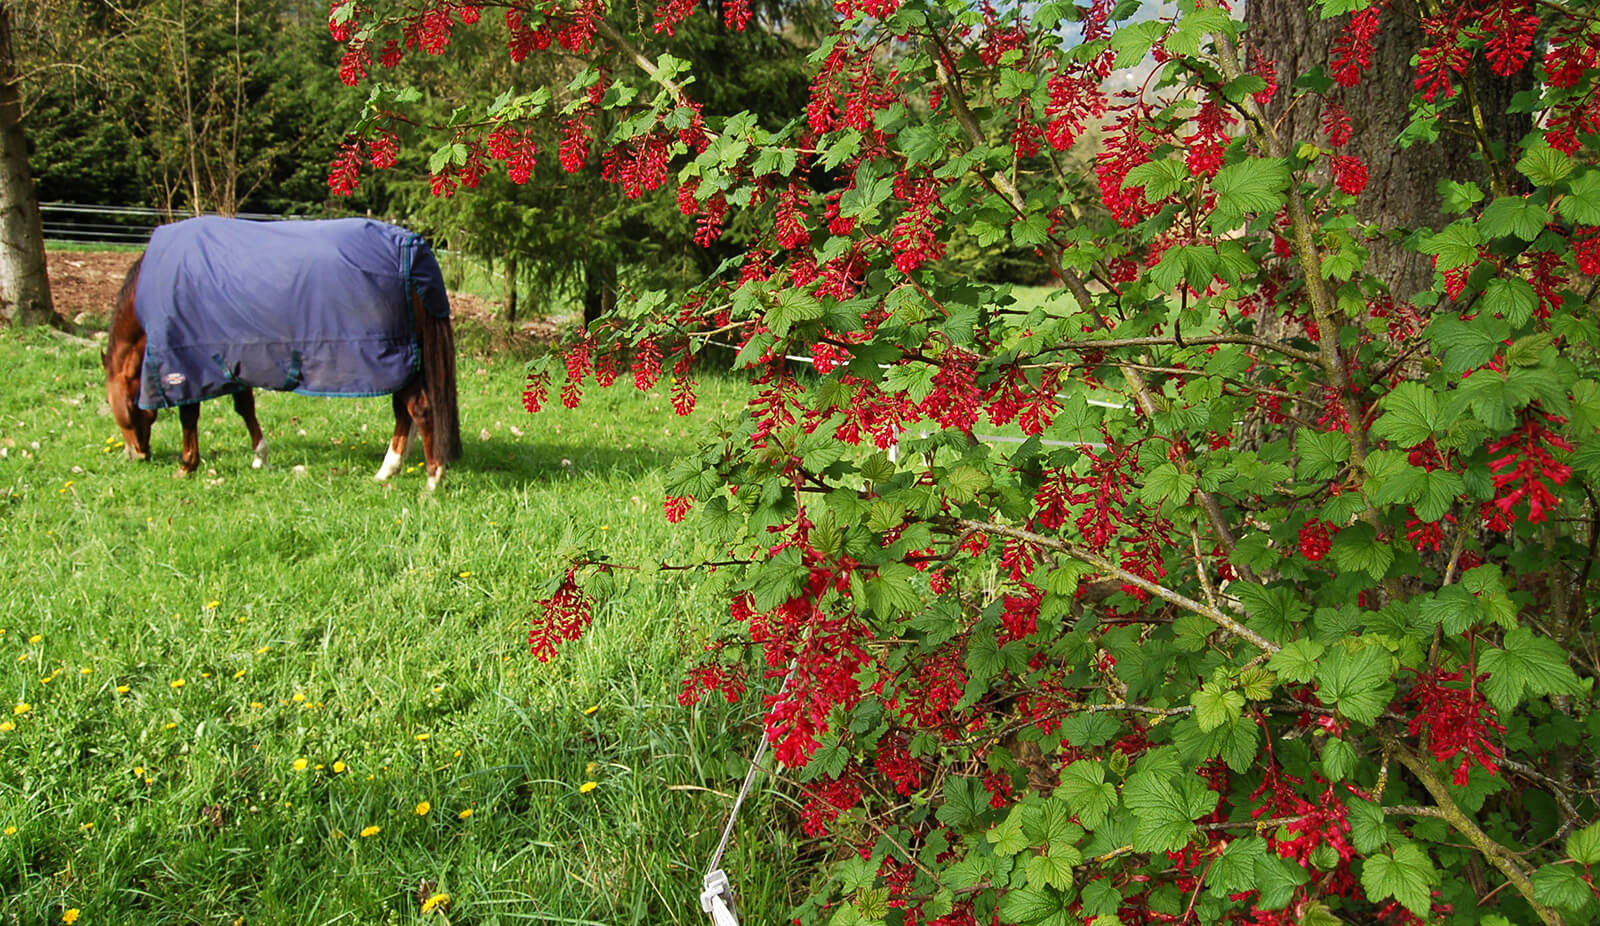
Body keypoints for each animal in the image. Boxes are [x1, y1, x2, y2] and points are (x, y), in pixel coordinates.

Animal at [102, 216, 461, 489]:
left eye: (126, 407)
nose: (136, 455)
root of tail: (411, 249)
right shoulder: (232, 360)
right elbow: (245, 407)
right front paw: (260, 456)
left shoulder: (186, 363)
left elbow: (189, 415)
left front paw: (187, 465)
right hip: (405, 364)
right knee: (404, 413)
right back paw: (388, 469)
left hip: (396, 362)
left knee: (420, 410)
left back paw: (433, 478)